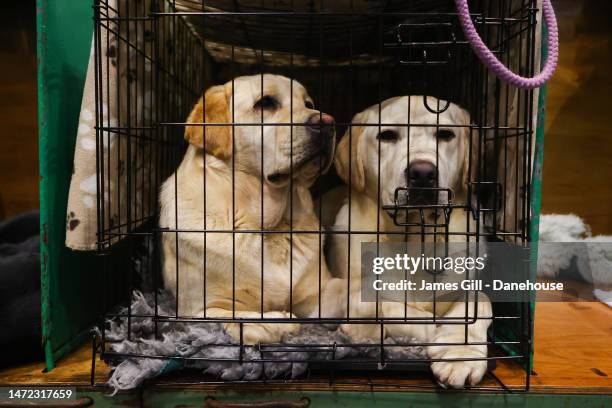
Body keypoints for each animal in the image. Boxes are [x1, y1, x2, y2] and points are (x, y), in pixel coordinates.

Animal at [159, 74, 492, 388]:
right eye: (265, 103)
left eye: (308, 103)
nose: (326, 122)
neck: (269, 226)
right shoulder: (197, 311)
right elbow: (256, 319)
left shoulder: (321, 294)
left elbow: (473, 306)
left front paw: (456, 347)